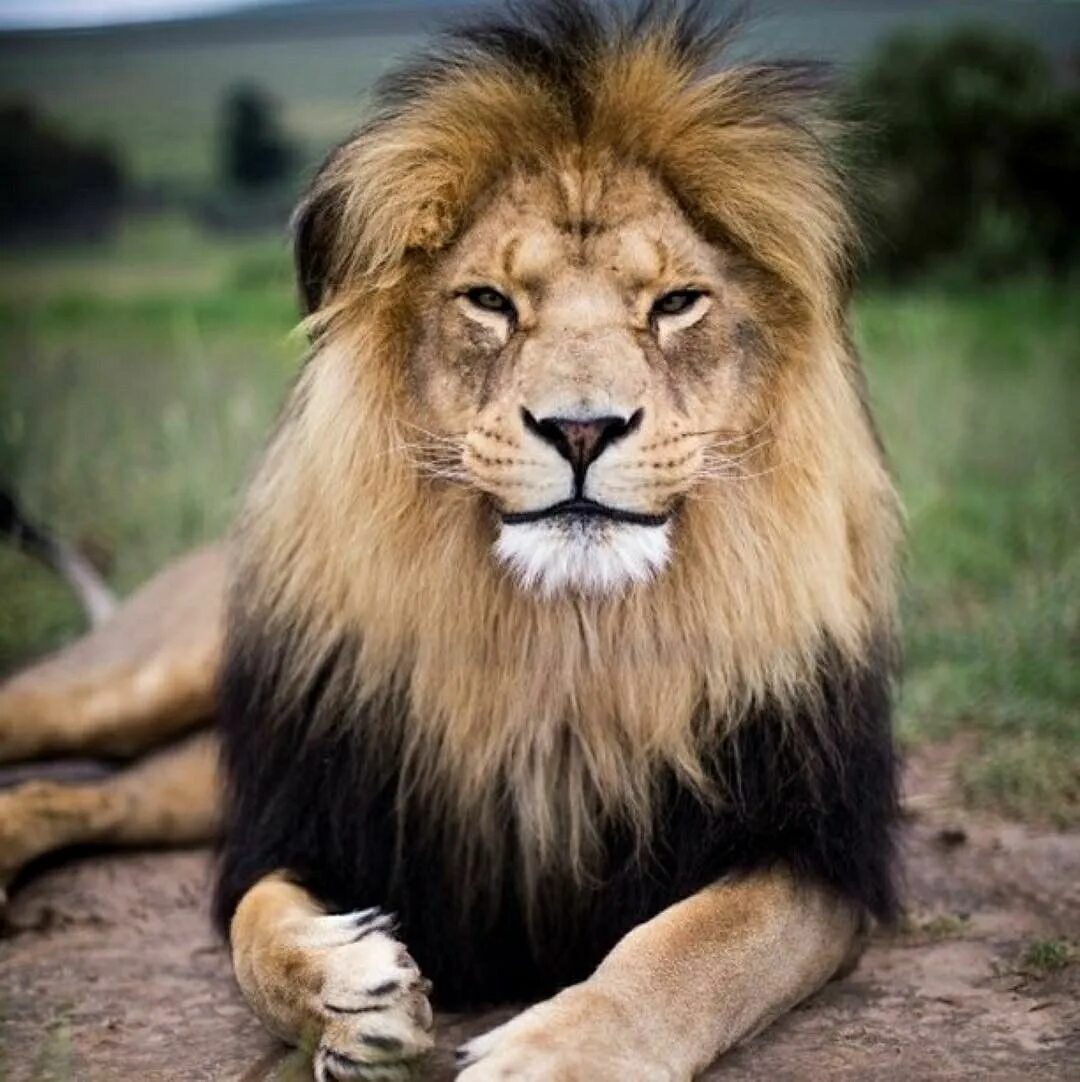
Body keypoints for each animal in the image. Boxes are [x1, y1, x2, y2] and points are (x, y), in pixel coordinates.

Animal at [0, 2, 902, 1078]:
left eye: (677, 302)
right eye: (490, 302)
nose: (583, 429)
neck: (564, 644)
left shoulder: (812, 850)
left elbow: (687, 945)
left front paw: (559, 1051)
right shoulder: (313, 801)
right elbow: (254, 926)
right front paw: (344, 987)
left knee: (79, 796)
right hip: (147, 681)